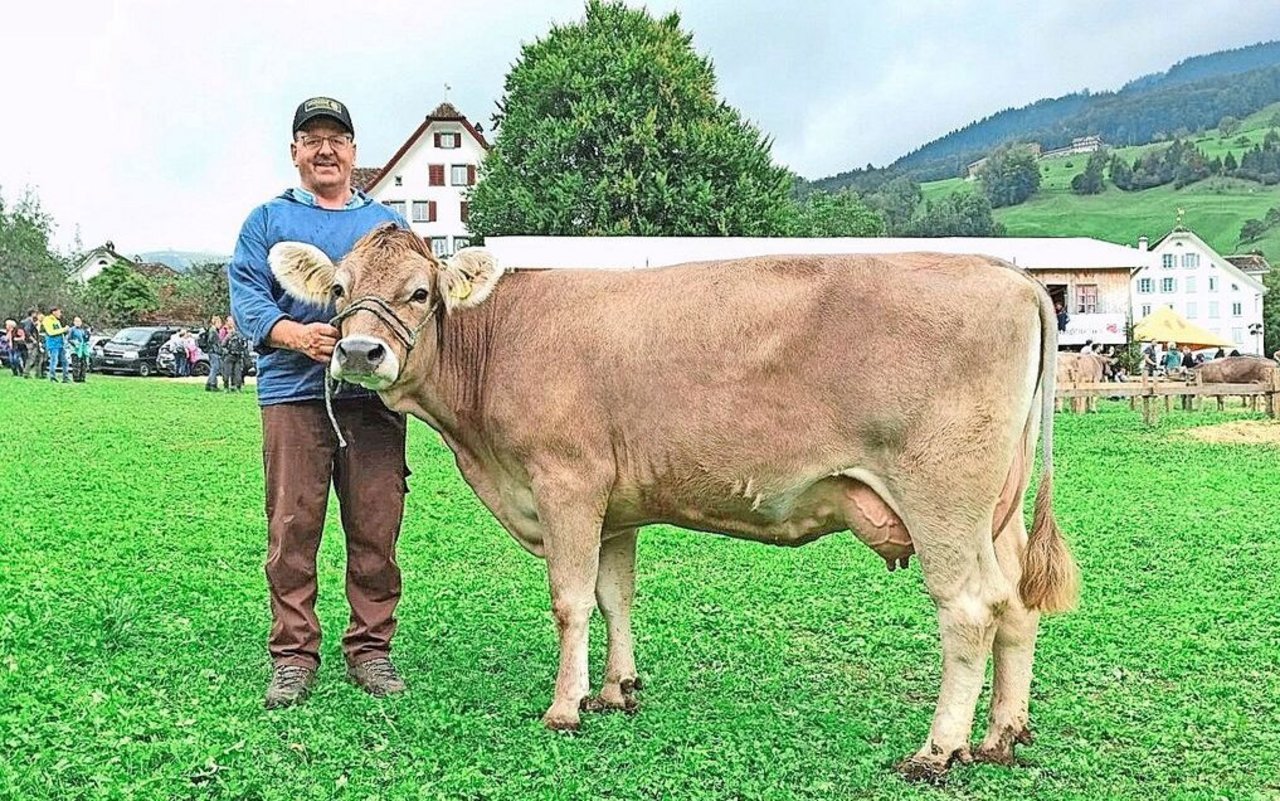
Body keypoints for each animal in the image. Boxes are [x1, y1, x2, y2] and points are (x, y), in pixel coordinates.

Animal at [270, 226, 1080, 777]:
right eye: (338, 290)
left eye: (420, 292)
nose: (359, 352)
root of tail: (1006, 273)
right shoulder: (614, 505)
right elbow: (614, 596)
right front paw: (616, 690)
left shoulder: (567, 483)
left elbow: (570, 600)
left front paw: (564, 707)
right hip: (996, 512)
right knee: (1016, 604)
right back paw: (1003, 733)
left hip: (943, 497)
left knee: (970, 609)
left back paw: (938, 748)